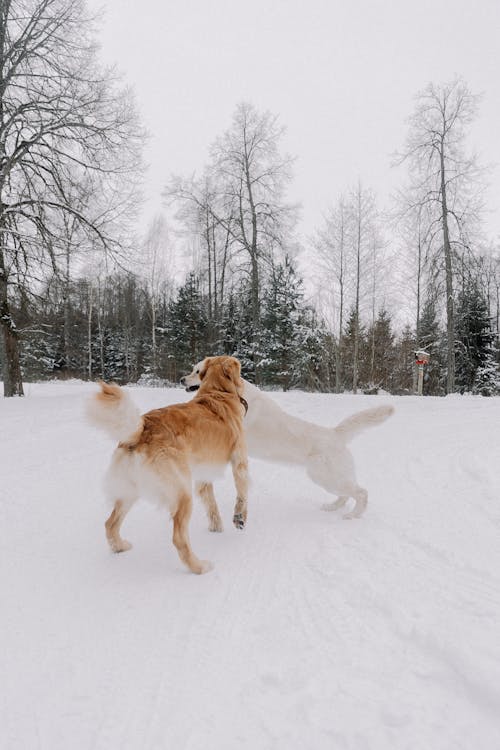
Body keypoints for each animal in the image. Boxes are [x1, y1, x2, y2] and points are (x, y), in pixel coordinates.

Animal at [88, 356, 250, 576]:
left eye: (196, 370)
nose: (182, 379)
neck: (218, 391)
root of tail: (142, 429)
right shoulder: (239, 460)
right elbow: (242, 493)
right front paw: (240, 518)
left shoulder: (203, 476)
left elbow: (211, 504)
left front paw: (216, 527)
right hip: (182, 494)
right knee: (179, 538)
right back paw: (199, 567)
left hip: (129, 492)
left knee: (110, 524)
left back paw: (119, 546)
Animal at [181, 362, 394, 532]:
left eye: (198, 371)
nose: (182, 379)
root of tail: (335, 433)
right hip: (330, 478)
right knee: (346, 495)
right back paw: (332, 507)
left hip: (326, 477)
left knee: (361, 493)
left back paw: (351, 515)